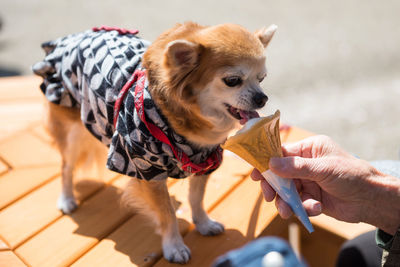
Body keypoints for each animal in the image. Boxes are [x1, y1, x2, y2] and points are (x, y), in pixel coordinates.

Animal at [32, 21, 276, 264]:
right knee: (66, 166)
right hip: (73, 129)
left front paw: (203, 223)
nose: (262, 98)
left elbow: (196, 198)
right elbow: (167, 213)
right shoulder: (147, 169)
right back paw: (66, 199)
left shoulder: (204, 161)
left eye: (262, 79)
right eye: (232, 81)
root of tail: (72, 38)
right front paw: (174, 246)